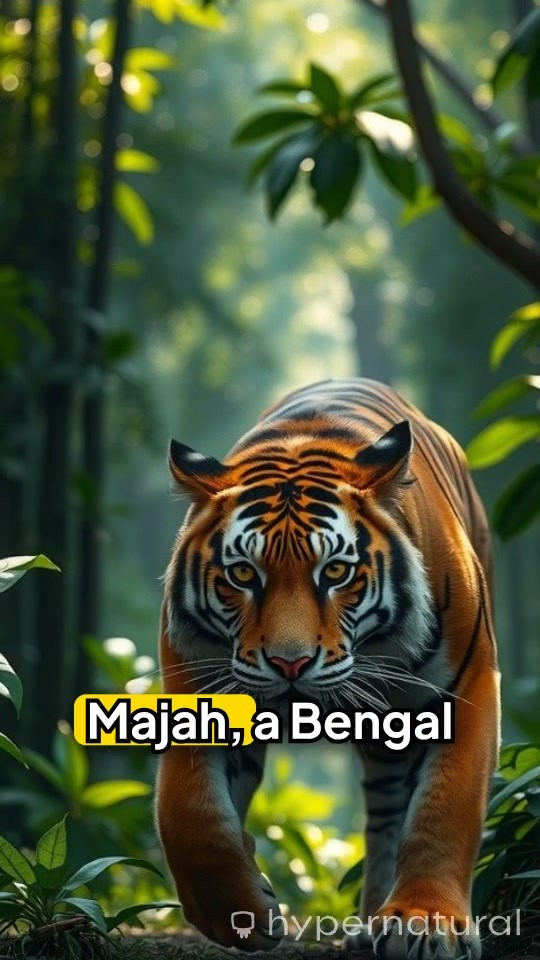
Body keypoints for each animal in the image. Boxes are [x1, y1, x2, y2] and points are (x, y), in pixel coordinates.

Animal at [156, 378, 500, 960]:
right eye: (243, 574)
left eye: (336, 571)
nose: (289, 662)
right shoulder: (196, 687)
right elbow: (188, 811)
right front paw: (239, 914)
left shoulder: (467, 687)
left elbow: (444, 809)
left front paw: (425, 924)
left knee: (391, 817)